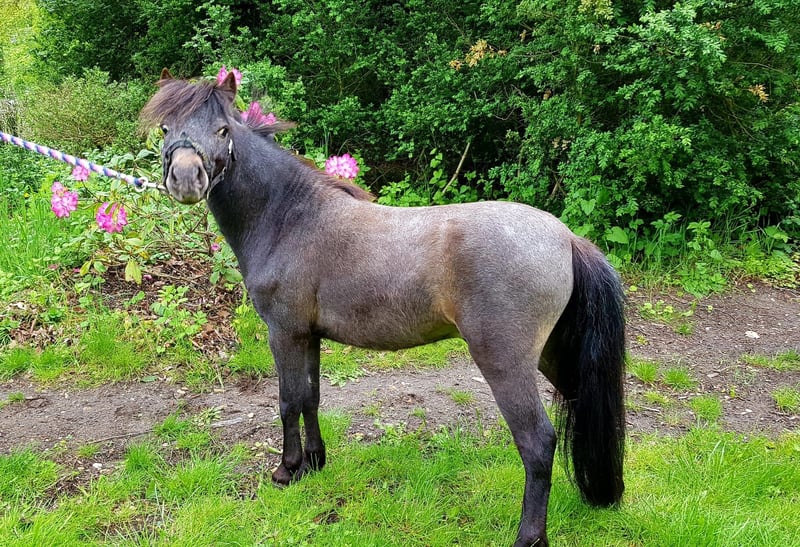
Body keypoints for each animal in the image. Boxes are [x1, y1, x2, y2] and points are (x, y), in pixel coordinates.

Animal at [141, 70, 626, 547]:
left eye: (222, 129)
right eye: (164, 128)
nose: (186, 180)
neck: (290, 218)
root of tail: (566, 237)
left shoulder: (285, 333)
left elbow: (287, 400)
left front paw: (287, 470)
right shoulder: (309, 336)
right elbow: (311, 397)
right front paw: (314, 463)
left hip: (505, 363)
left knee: (537, 442)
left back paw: (528, 537)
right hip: (553, 357)